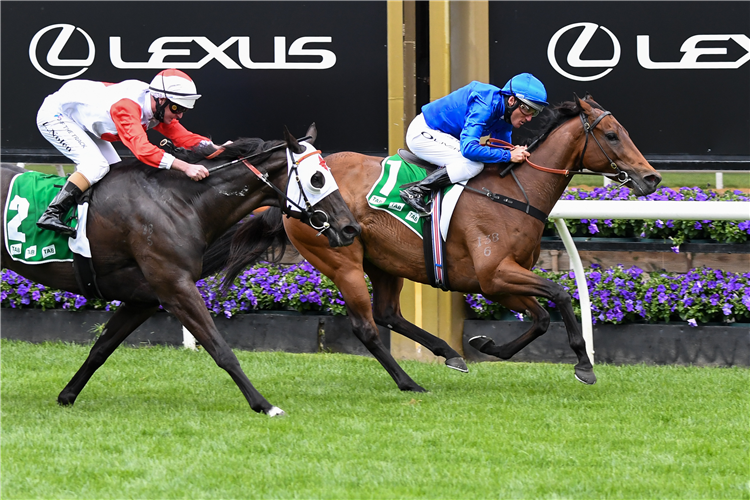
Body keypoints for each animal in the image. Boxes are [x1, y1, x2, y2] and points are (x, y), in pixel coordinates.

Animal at [0, 125, 364, 418]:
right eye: (318, 178)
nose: (350, 228)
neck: (181, 202)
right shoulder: (176, 287)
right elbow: (221, 349)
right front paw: (265, 405)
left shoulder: (145, 298)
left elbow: (101, 348)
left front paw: (67, 395)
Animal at [219, 94, 664, 390]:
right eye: (612, 135)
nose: (652, 177)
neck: (516, 192)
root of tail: (291, 188)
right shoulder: (494, 274)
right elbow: (559, 294)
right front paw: (584, 364)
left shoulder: (498, 280)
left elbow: (539, 317)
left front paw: (487, 345)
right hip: (341, 258)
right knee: (366, 326)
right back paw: (408, 381)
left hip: (385, 261)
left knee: (388, 314)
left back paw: (448, 353)